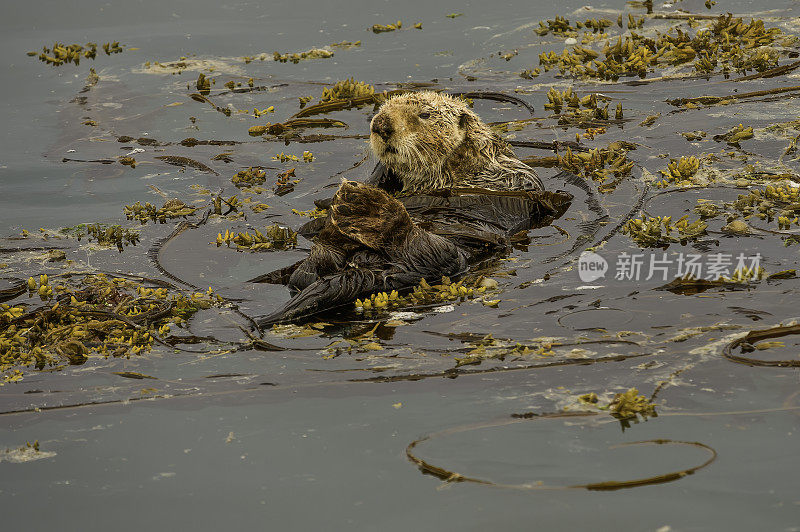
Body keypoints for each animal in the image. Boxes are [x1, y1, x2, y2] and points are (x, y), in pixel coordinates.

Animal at [253, 90, 572, 324]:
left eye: (425, 114)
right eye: (380, 110)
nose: (381, 125)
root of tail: (360, 269)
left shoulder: (511, 175)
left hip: (445, 256)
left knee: (411, 240)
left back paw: (369, 209)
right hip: (324, 267)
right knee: (309, 269)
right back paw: (344, 213)